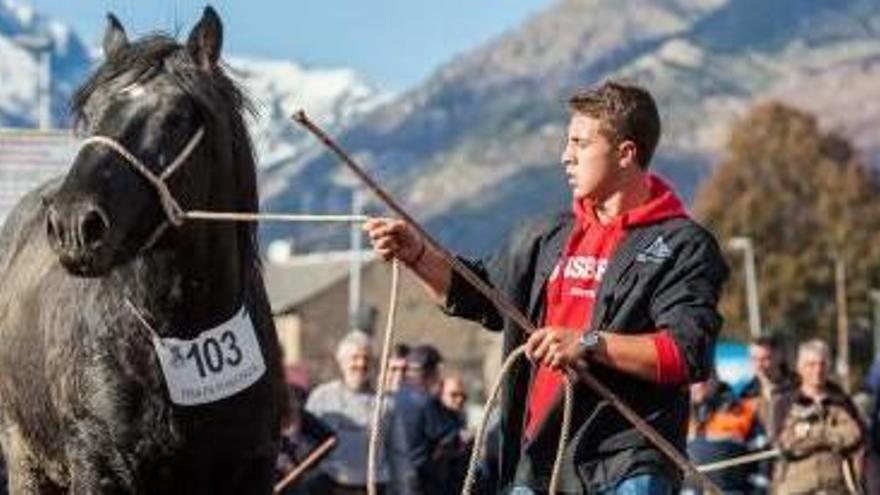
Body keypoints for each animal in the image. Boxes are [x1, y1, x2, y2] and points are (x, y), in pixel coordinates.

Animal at [0, 7, 284, 495]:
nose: (74, 223)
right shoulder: (99, 465)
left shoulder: (255, 467)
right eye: (90, 112)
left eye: (174, 116)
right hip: (25, 460)